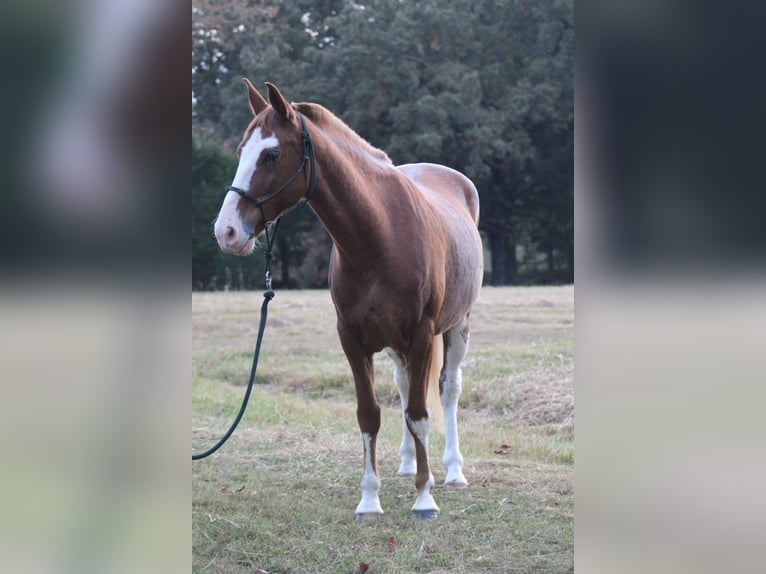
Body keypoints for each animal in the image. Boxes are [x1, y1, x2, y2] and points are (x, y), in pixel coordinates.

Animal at [213, 82, 484, 520]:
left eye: (271, 155)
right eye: (241, 151)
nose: (227, 232)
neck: (380, 235)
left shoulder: (422, 335)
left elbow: (420, 413)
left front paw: (424, 499)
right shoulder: (353, 338)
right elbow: (369, 414)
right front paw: (370, 500)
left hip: (456, 327)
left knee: (447, 389)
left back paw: (453, 471)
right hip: (397, 344)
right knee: (404, 385)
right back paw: (408, 463)